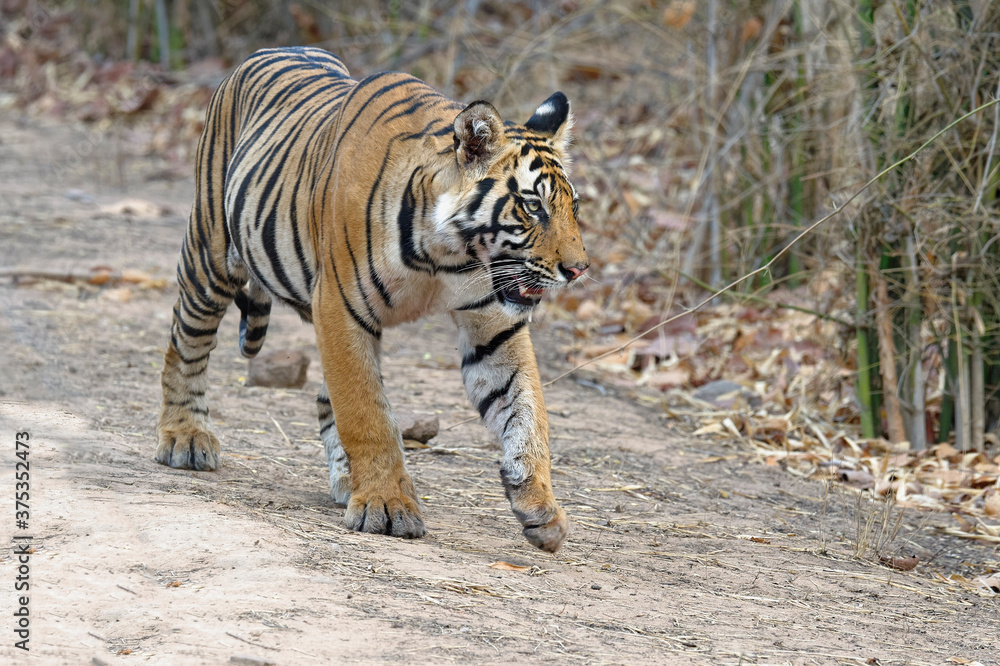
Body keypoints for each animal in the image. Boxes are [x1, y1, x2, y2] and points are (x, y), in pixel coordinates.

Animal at [155, 47, 589, 553]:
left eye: (572, 207)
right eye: (533, 206)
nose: (579, 269)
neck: (447, 255)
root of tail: (266, 51)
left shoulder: (493, 324)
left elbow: (526, 409)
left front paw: (540, 506)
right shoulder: (339, 305)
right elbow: (367, 413)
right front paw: (387, 505)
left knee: (325, 399)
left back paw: (346, 479)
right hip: (210, 256)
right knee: (186, 344)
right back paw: (185, 438)